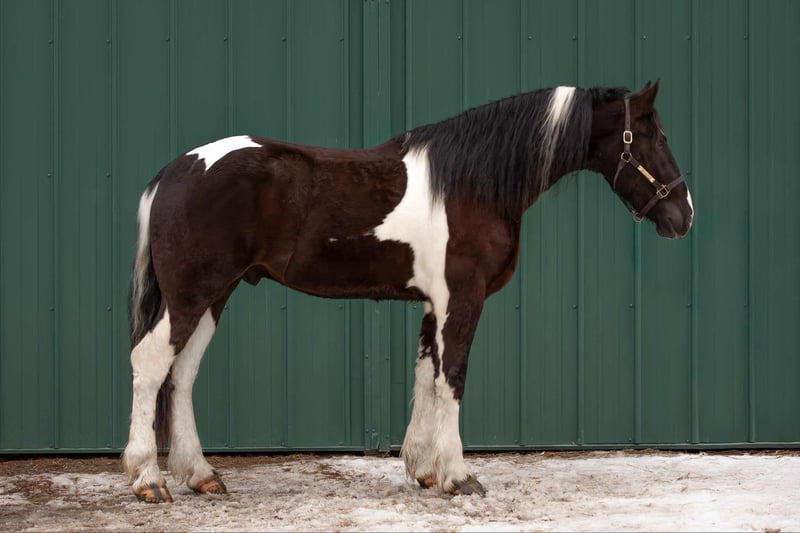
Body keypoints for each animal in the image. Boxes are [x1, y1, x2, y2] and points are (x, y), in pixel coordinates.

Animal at [122, 80, 693, 502]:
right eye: (649, 136)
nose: (683, 215)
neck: (472, 182)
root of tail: (173, 172)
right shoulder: (462, 298)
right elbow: (452, 379)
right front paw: (459, 477)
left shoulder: (432, 303)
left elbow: (426, 376)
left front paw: (424, 470)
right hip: (192, 294)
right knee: (151, 364)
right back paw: (148, 480)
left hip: (213, 295)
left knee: (182, 374)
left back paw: (201, 475)